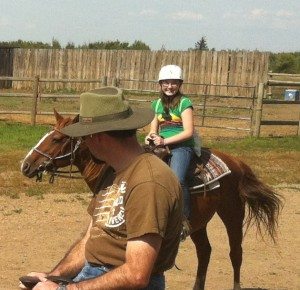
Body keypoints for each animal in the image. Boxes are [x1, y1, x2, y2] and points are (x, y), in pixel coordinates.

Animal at [20, 110, 282, 288]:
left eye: (56, 139)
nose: (25, 165)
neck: (113, 167)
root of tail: (236, 162)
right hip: (200, 223)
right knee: (205, 252)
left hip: (232, 213)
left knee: (235, 253)